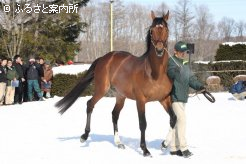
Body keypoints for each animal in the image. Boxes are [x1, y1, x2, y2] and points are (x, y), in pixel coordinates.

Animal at [55, 10, 176, 157]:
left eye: (166, 29)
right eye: (152, 31)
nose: (159, 50)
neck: (154, 73)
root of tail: (104, 58)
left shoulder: (164, 99)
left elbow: (173, 119)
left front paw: (164, 144)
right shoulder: (140, 100)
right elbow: (143, 123)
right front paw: (145, 150)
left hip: (120, 96)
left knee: (114, 114)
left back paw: (118, 143)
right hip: (102, 89)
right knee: (90, 104)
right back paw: (84, 136)